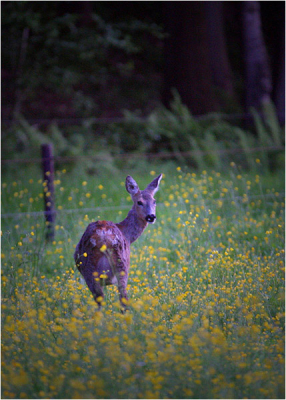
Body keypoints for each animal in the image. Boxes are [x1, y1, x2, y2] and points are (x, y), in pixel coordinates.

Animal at [75, 173, 162, 310]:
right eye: (139, 202)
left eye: (154, 201)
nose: (151, 216)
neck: (127, 235)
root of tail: (103, 236)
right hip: (120, 263)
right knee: (120, 297)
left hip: (92, 267)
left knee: (104, 298)